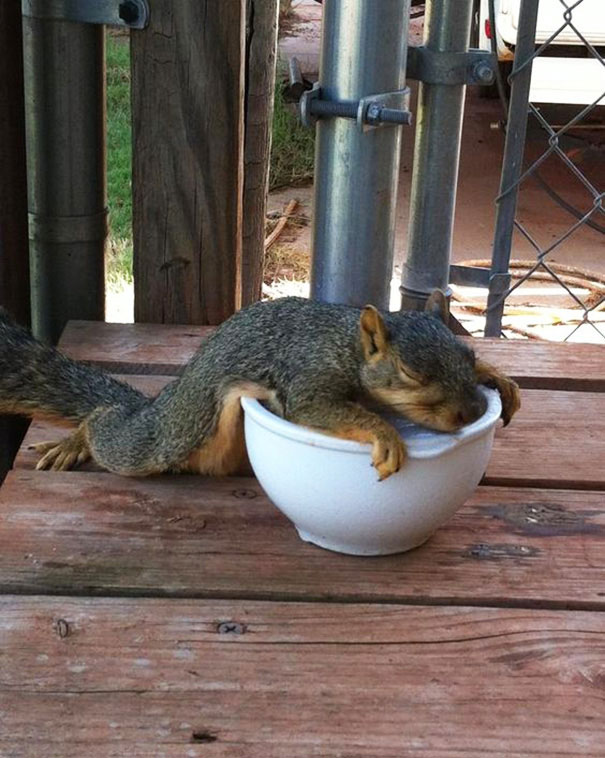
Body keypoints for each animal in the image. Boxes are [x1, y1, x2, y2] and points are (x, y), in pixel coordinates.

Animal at [0, 292, 520, 481]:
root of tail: (159, 403)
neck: (346, 345)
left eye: (466, 356)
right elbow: (324, 409)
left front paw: (497, 376)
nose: (474, 412)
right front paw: (386, 434)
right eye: (413, 374)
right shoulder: (307, 376)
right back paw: (79, 438)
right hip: (165, 437)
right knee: (108, 426)